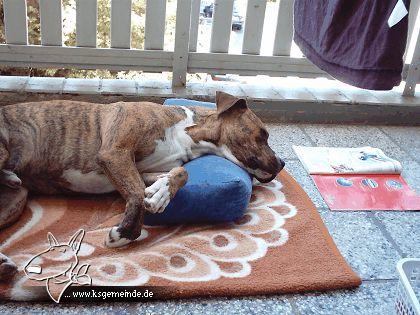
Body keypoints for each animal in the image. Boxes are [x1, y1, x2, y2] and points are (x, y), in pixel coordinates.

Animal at [0, 90, 286, 282]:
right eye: (263, 134)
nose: (283, 163)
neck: (189, 135)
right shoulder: (115, 153)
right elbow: (136, 192)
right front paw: (126, 232)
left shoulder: (145, 170)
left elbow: (179, 173)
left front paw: (161, 193)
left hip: (16, 200)